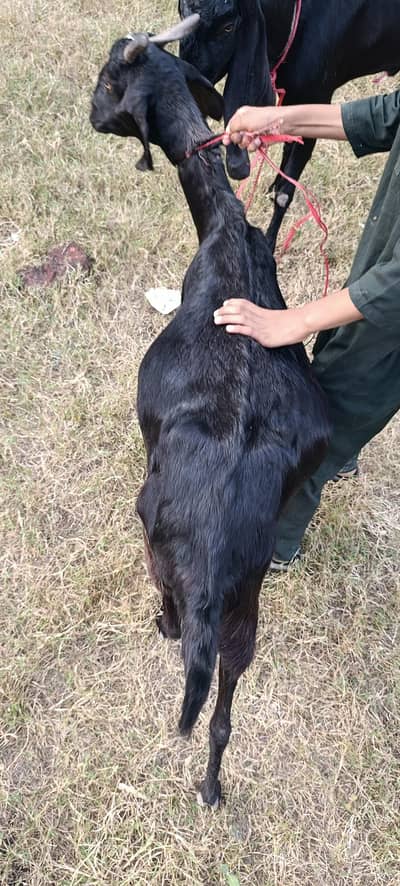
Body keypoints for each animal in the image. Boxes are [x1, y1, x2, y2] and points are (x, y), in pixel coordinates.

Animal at [90, 14, 330, 808]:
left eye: (109, 81)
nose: (89, 116)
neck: (225, 232)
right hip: (243, 618)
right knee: (224, 713)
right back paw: (212, 787)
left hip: (163, 552)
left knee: (172, 615)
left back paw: (165, 629)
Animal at [178, 0, 400, 249]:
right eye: (181, 14)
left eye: (228, 27)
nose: (190, 88)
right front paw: (272, 186)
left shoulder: (316, 99)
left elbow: (285, 193)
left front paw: (269, 243)